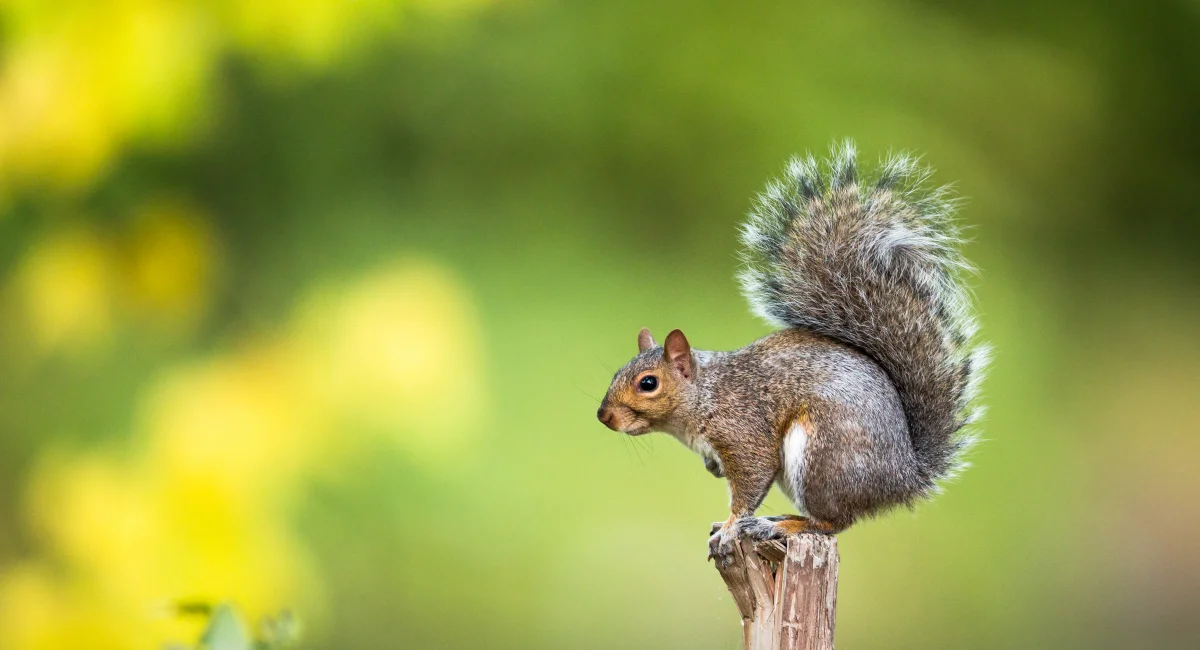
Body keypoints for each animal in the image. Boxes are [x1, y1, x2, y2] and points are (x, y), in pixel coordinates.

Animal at [596, 142, 989, 564]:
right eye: (618, 372)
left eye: (648, 383)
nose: (604, 416)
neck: (705, 396)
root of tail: (903, 479)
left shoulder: (743, 432)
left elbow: (750, 484)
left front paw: (730, 528)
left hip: (822, 457)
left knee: (833, 522)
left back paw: (778, 526)